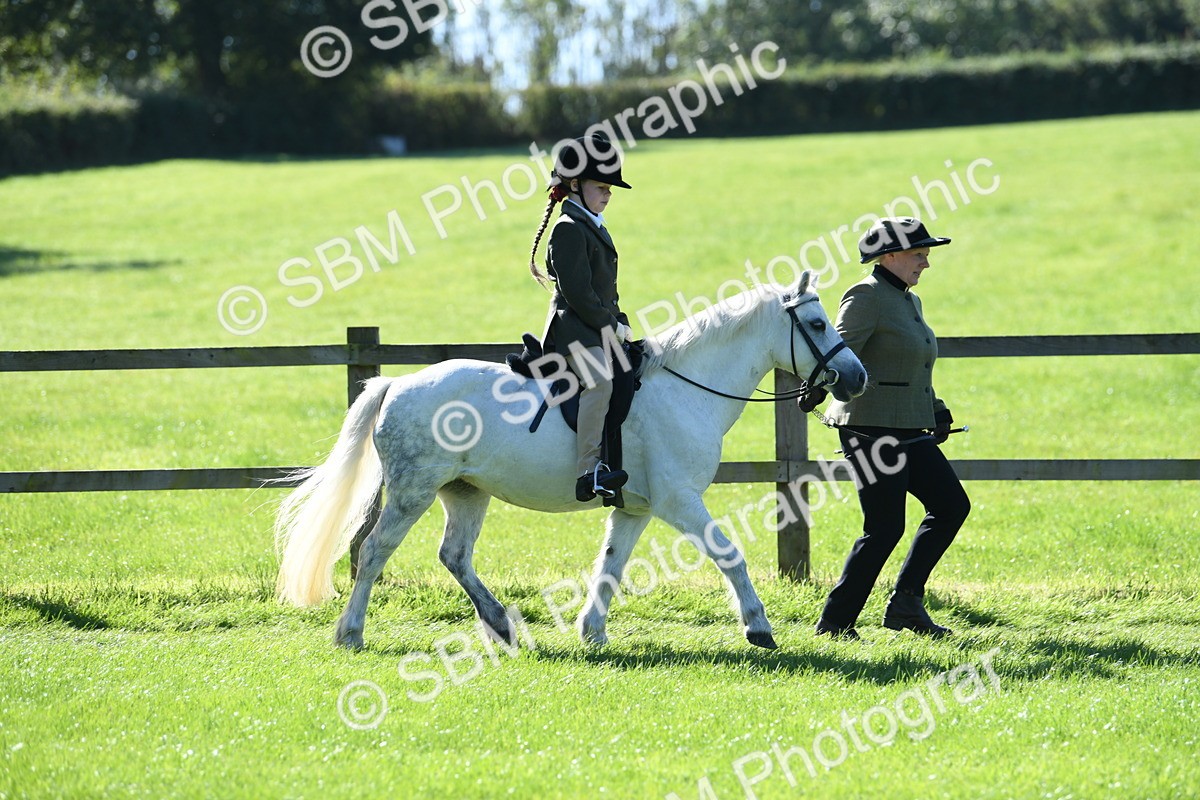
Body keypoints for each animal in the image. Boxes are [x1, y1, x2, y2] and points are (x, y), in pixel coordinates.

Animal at [274, 271, 867, 650]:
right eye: (817, 325)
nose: (857, 378)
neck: (686, 387)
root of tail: (396, 383)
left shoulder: (635, 507)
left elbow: (611, 564)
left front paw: (592, 631)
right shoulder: (679, 500)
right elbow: (730, 555)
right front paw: (758, 628)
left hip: (466, 491)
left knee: (455, 555)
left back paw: (501, 626)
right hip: (412, 491)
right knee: (374, 552)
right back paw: (351, 633)